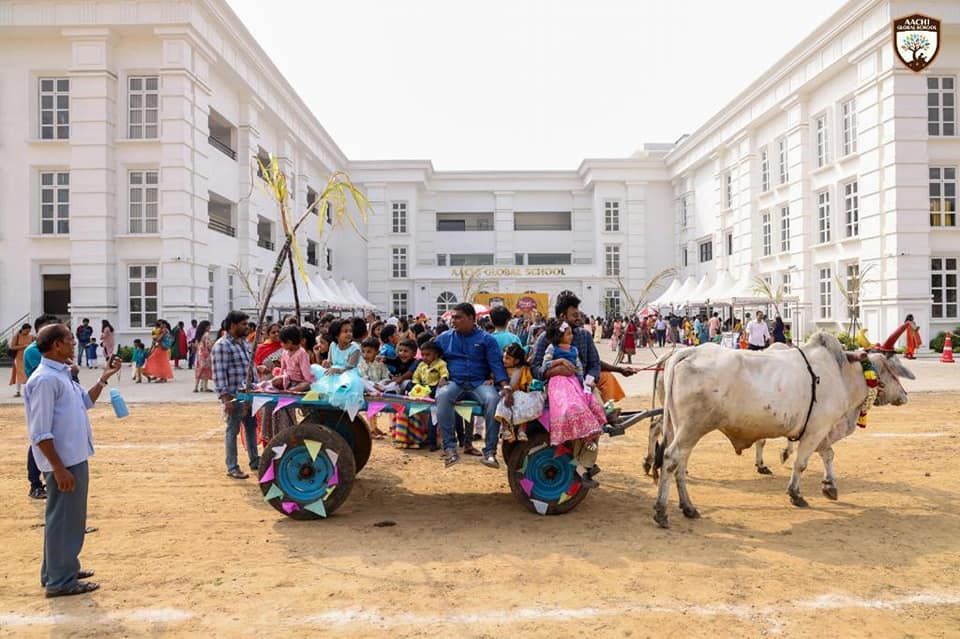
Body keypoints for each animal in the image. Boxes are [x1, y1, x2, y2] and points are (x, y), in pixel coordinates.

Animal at [652, 328, 916, 528]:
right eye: (894, 369)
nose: (904, 396)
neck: (842, 374)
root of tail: (686, 352)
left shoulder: (821, 431)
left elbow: (829, 455)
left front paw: (829, 486)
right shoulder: (816, 430)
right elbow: (801, 463)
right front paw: (796, 494)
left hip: (678, 427)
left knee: (679, 463)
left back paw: (688, 507)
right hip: (692, 428)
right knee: (671, 459)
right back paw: (662, 511)